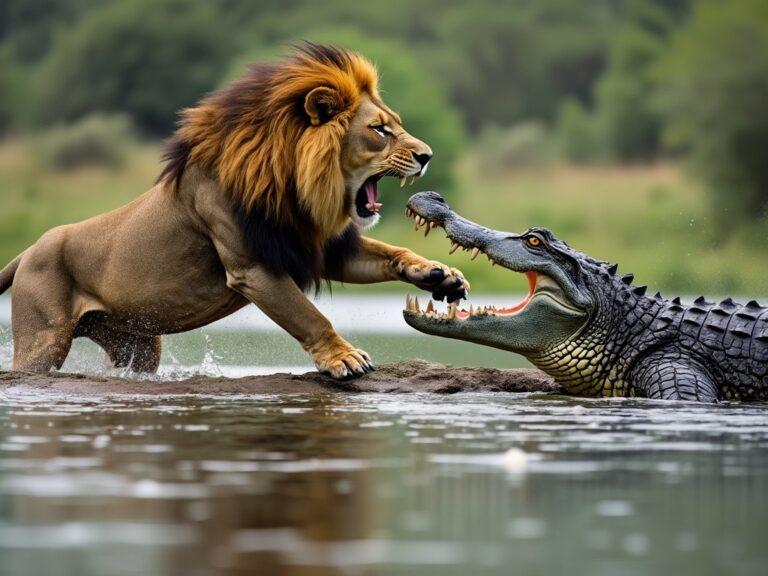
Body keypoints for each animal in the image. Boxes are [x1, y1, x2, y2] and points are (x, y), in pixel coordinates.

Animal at [0, 44, 468, 378]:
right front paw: (344, 358)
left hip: (138, 344)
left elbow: (389, 254)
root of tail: (29, 250)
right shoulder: (253, 267)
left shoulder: (315, 247)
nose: (427, 155)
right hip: (44, 339)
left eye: (396, 124)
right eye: (380, 130)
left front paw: (438, 274)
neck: (293, 187)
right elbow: (309, 316)